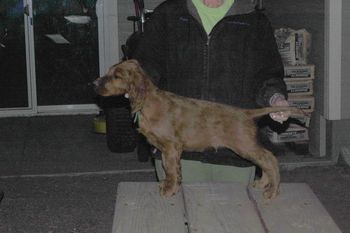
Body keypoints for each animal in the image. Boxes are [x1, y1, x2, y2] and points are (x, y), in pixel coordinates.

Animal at [94, 59, 302, 199]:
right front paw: (172, 184)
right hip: (248, 146)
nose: (94, 84)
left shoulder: (171, 146)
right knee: (265, 161)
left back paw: (272, 190)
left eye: (116, 76)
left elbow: (170, 169)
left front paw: (169, 189)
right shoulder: (167, 149)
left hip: (245, 145)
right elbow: (170, 168)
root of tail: (246, 113)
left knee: (270, 159)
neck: (147, 102)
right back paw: (263, 183)